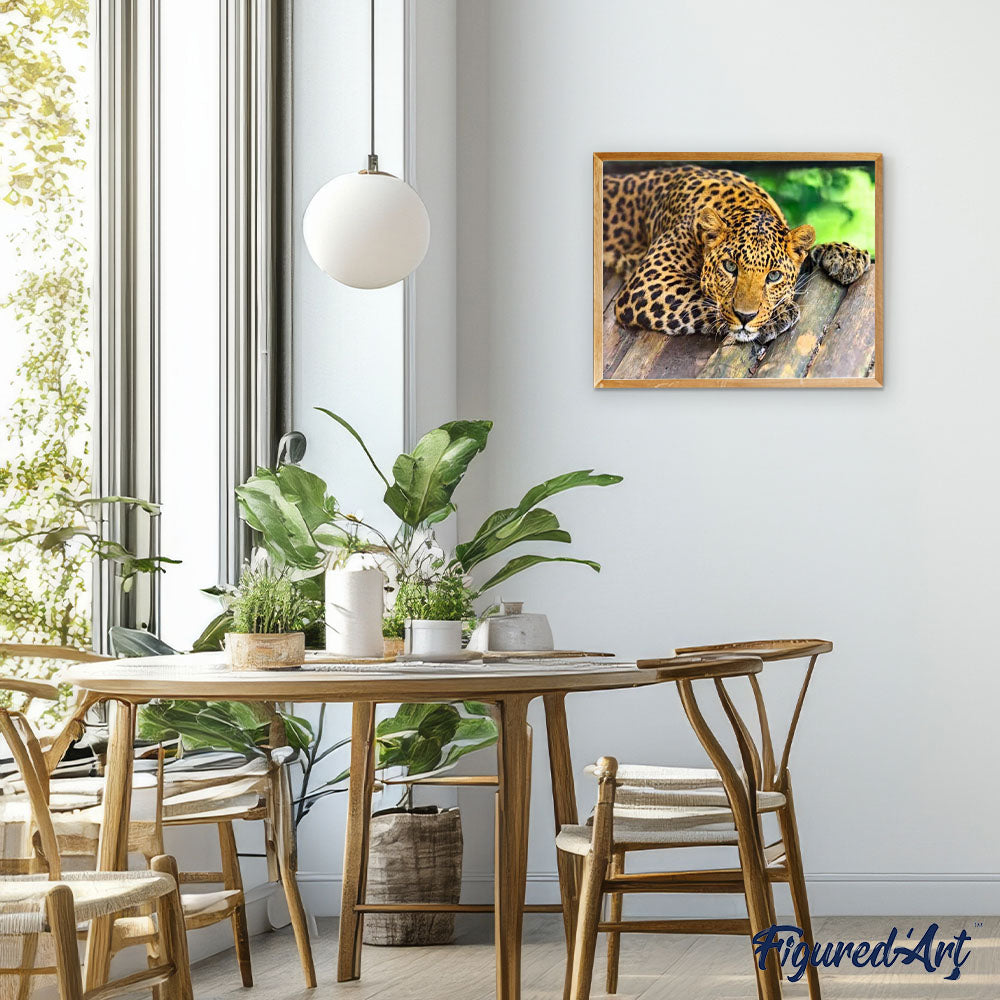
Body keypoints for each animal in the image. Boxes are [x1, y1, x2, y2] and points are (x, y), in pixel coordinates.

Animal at [603, 165, 872, 344]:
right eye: (730, 267)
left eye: (773, 276)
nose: (745, 316)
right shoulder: (649, 281)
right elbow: (702, 297)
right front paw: (776, 315)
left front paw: (846, 254)